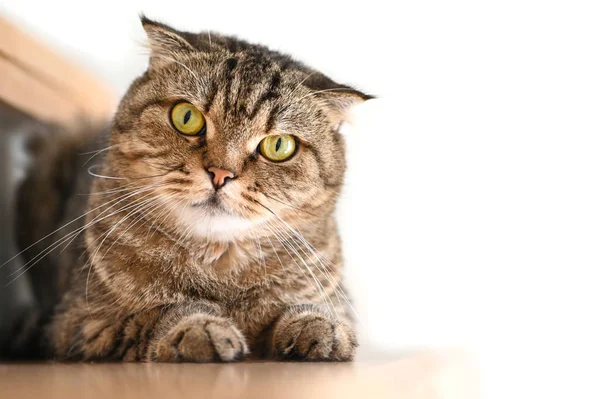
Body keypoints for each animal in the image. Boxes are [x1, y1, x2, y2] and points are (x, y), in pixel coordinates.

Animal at [3, 17, 370, 364]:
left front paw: (318, 325)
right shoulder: (81, 322)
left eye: (278, 145)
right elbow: (153, 314)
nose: (221, 173)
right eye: (186, 117)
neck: (220, 272)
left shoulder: (337, 297)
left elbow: (320, 309)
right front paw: (199, 326)